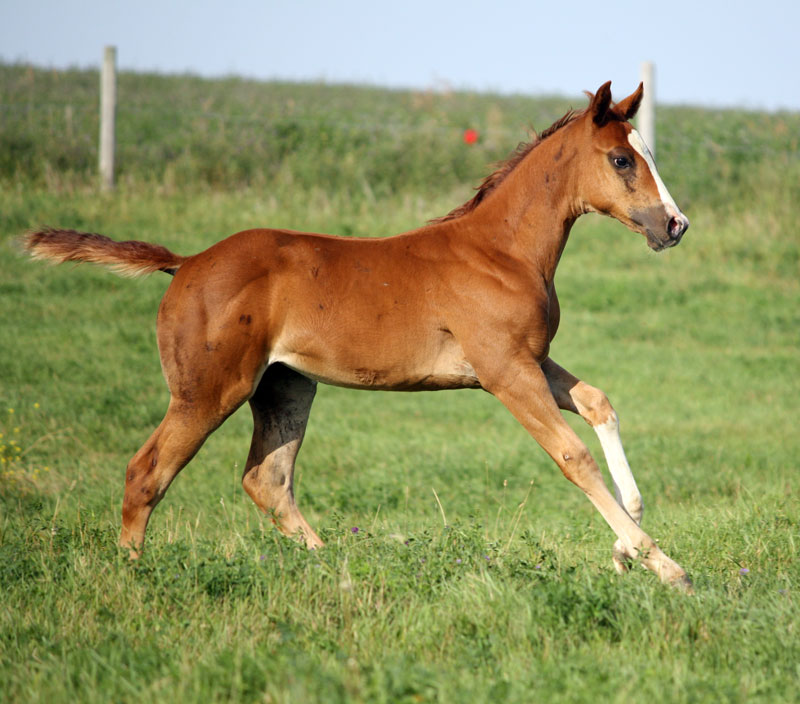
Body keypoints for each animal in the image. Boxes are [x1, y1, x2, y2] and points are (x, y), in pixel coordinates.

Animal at [21, 82, 692, 588]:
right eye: (622, 160)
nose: (675, 225)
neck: (501, 251)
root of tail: (184, 263)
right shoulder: (505, 371)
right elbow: (573, 456)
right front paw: (664, 566)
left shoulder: (530, 361)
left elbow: (599, 404)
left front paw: (625, 549)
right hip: (210, 389)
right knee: (148, 471)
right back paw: (131, 577)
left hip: (286, 386)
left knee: (267, 480)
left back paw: (333, 571)